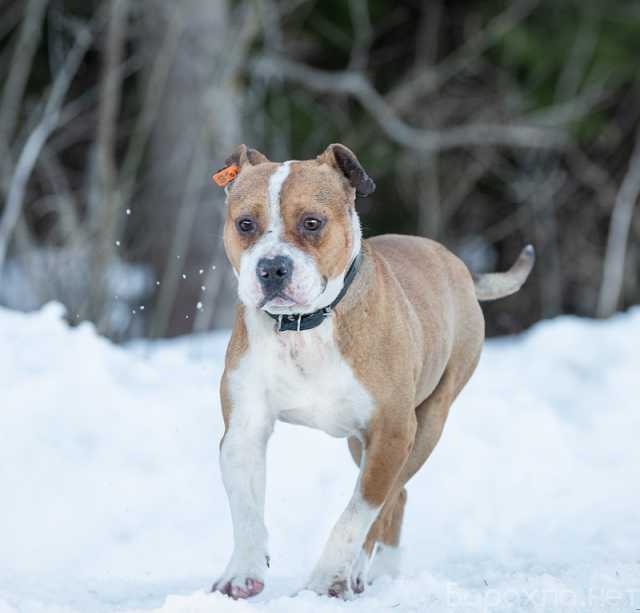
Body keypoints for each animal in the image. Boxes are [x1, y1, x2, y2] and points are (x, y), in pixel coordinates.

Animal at [210, 142, 536, 596]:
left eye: (312, 223)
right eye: (245, 224)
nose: (272, 268)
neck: (306, 328)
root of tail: (453, 260)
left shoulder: (392, 432)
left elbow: (356, 515)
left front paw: (324, 581)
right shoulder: (244, 429)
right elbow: (245, 506)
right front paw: (243, 572)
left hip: (426, 425)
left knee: (389, 499)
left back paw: (364, 573)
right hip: (359, 442)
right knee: (395, 499)